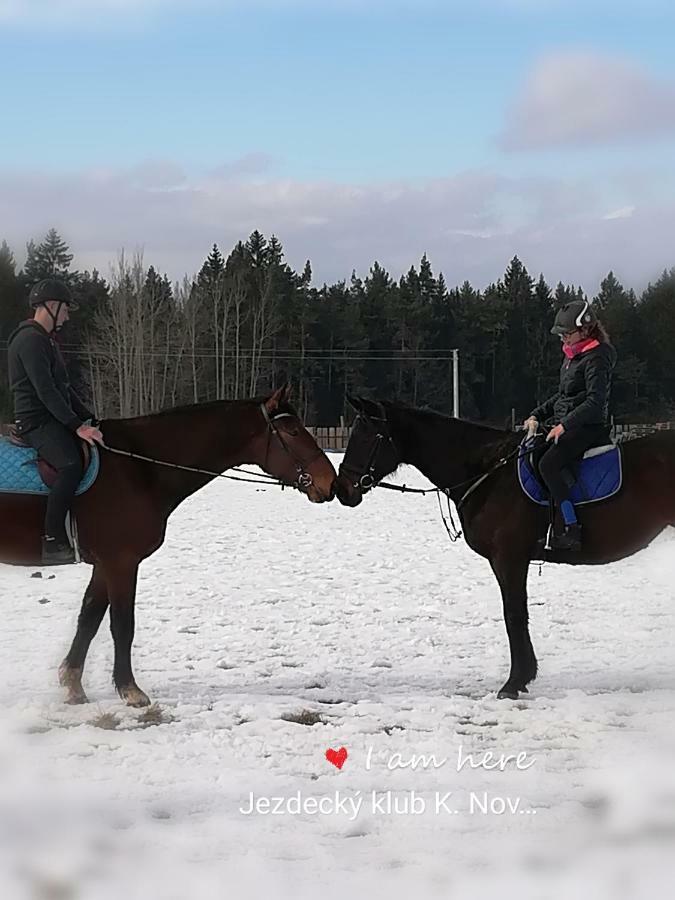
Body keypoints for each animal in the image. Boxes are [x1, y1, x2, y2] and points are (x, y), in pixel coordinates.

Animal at [0, 390, 338, 708]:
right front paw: (130, 690)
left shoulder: (104, 564)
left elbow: (89, 618)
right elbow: (122, 625)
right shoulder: (121, 562)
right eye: (292, 431)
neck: (138, 466)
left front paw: (72, 684)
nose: (331, 482)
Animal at [336, 400, 675, 704]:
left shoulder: (508, 558)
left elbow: (514, 614)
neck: (488, 472)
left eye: (367, 437)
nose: (343, 490)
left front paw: (514, 682)